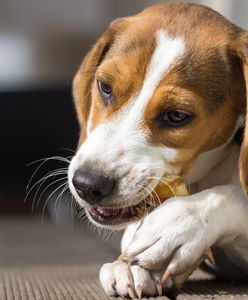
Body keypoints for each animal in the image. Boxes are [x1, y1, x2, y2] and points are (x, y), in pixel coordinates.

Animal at [68, 2, 248, 298]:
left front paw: (176, 225)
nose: (87, 184)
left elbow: (232, 195)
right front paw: (129, 266)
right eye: (105, 87)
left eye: (176, 115)